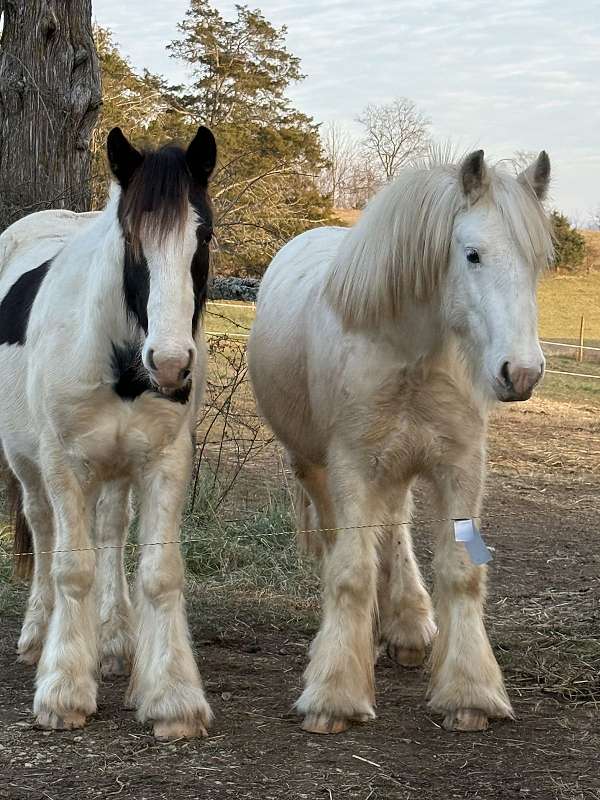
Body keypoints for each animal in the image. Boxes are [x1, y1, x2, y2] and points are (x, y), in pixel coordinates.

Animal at [0, 126, 216, 744]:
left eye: (203, 236)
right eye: (132, 240)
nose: (171, 363)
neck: (119, 360)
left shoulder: (165, 460)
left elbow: (160, 574)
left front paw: (172, 696)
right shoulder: (64, 463)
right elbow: (71, 566)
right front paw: (63, 690)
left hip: (118, 468)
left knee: (112, 532)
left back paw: (117, 641)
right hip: (28, 464)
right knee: (44, 531)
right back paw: (38, 634)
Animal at [250, 148, 552, 732]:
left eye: (537, 263)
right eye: (473, 255)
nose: (521, 372)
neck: (411, 352)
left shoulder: (460, 464)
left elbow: (461, 572)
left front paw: (469, 693)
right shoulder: (352, 466)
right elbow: (350, 571)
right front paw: (335, 694)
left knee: (393, 528)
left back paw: (407, 626)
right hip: (316, 467)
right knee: (340, 546)